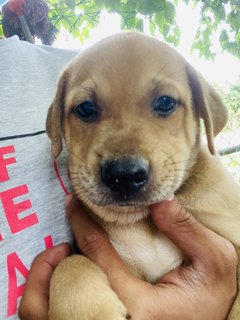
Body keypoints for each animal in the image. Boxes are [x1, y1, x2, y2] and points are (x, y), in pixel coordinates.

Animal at [45, 32, 240, 320]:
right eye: (85, 108)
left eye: (165, 102)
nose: (123, 175)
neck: (143, 222)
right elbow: (70, 262)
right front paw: (90, 311)